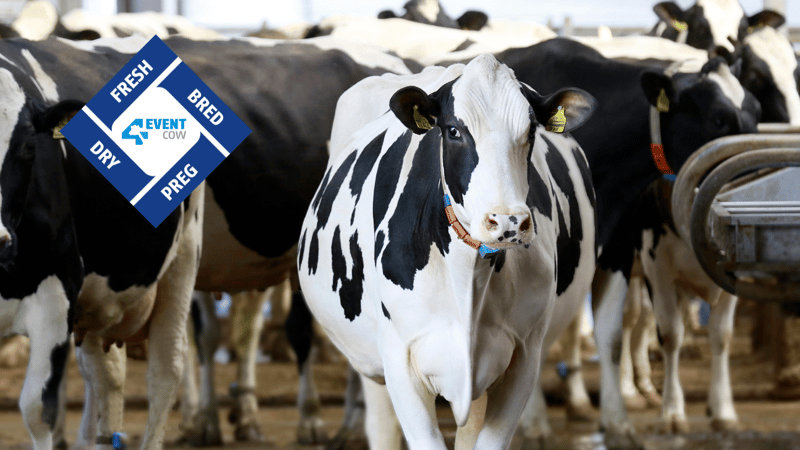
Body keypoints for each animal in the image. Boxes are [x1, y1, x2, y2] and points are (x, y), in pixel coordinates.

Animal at [298, 53, 598, 449]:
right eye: (454, 130)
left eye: (531, 132)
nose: (507, 220)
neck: (468, 275)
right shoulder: (401, 360)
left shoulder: (524, 359)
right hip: (372, 356)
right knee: (381, 425)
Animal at [495, 37, 761, 444]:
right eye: (718, 118)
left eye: (757, 112)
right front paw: (535, 423)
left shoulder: (617, 244)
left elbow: (613, 335)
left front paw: (618, 422)